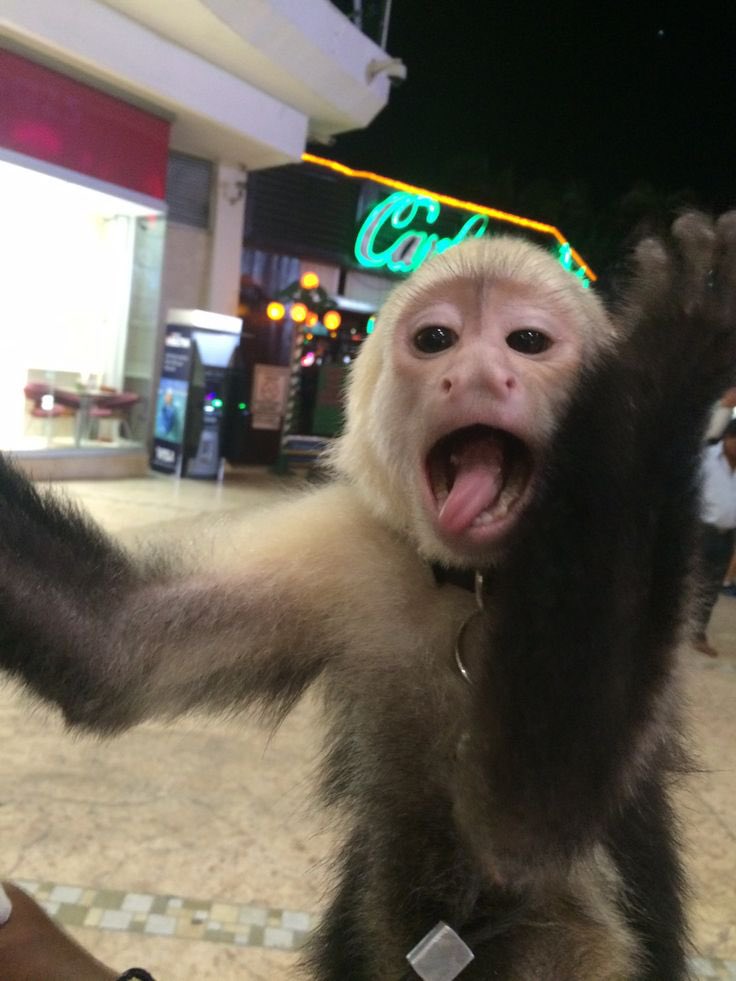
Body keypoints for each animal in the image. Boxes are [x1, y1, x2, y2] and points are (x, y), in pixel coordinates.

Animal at [1, 213, 736, 980]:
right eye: (436, 340)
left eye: (527, 343)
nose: (476, 373)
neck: (470, 586)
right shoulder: (350, 545)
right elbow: (113, 645)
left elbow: (524, 834)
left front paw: (667, 356)